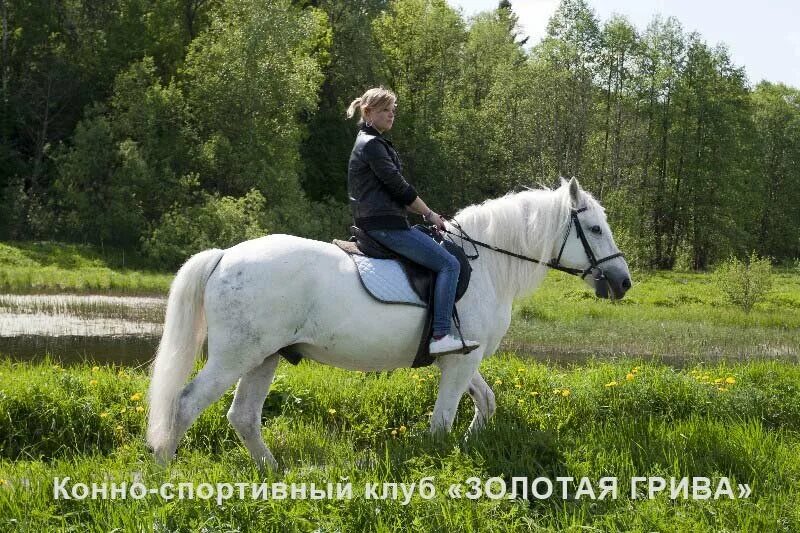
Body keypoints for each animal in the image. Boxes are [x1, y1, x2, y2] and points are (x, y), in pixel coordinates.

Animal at [144, 178, 632, 466]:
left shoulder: (462, 357)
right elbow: (441, 421)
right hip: (235, 357)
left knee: (243, 416)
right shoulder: (459, 363)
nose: (623, 282)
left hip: (265, 357)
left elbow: (486, 402)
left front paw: (470, 446)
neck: (488, 263)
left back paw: (272, 472)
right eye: (594, 229)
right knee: (185, 404)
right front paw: (439, 466)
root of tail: (225, 255)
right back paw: (165, 472)